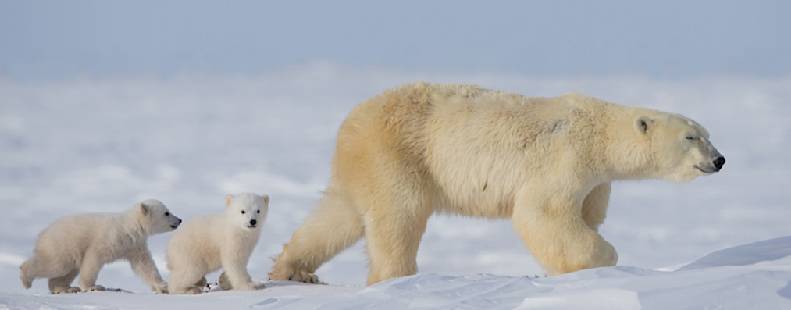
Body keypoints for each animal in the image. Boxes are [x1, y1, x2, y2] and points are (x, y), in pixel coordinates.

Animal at [19, 199, 181, 294]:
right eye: (167, 212)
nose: (179, 220)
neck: (129, 227)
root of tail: (43, 233)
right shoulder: (109, 238)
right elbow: (93, 259)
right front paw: (92, 287)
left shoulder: (135, 245)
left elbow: (145, 265)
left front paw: (163, 286)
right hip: (62, 244)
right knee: (55, 265)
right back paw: (26, 279)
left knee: (66, 271)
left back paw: (65, 288)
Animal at [270, 83, 728, 286]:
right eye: (692, 137)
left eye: (708, 134)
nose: (719, 160)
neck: (597, 131)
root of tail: (352, 123)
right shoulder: (565, 158)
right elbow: (542, 212)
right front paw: (603, 257)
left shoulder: (596, 182)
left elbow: (586, 215)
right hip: (398, 154)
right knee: (398, 215)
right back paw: (393, 277)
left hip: (362, 166)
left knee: (338, 215)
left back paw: (292, 270)